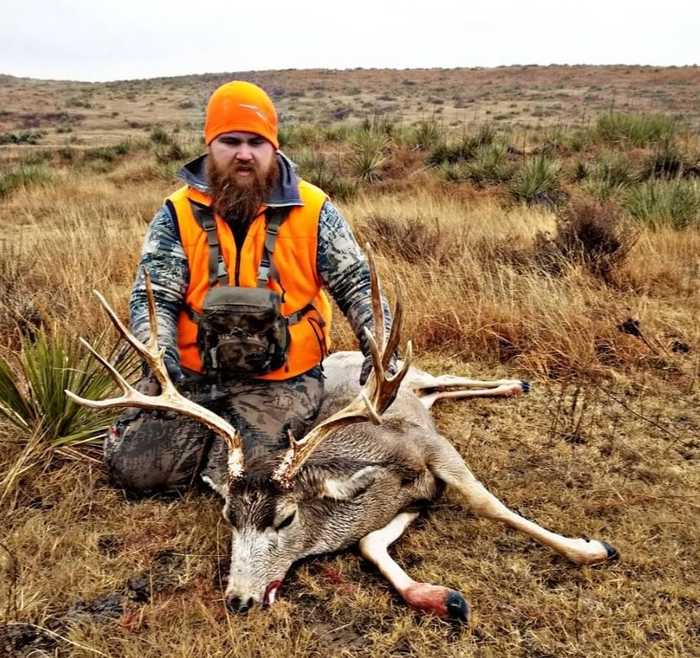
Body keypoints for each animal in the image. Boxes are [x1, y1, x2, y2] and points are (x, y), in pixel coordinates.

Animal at [66, 255, 619, 623]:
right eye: (228, 517)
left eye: (286, 518)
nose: (238, 601)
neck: (378, 473)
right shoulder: (409, 501)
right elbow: (372, 546)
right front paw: (442, 598)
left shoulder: (430, 449)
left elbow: (487, 502)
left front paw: (590, 549)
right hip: (419, 394)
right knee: (437, 391)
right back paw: (509, 385)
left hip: (409, 375)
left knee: (436, 376)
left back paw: (514, 383)